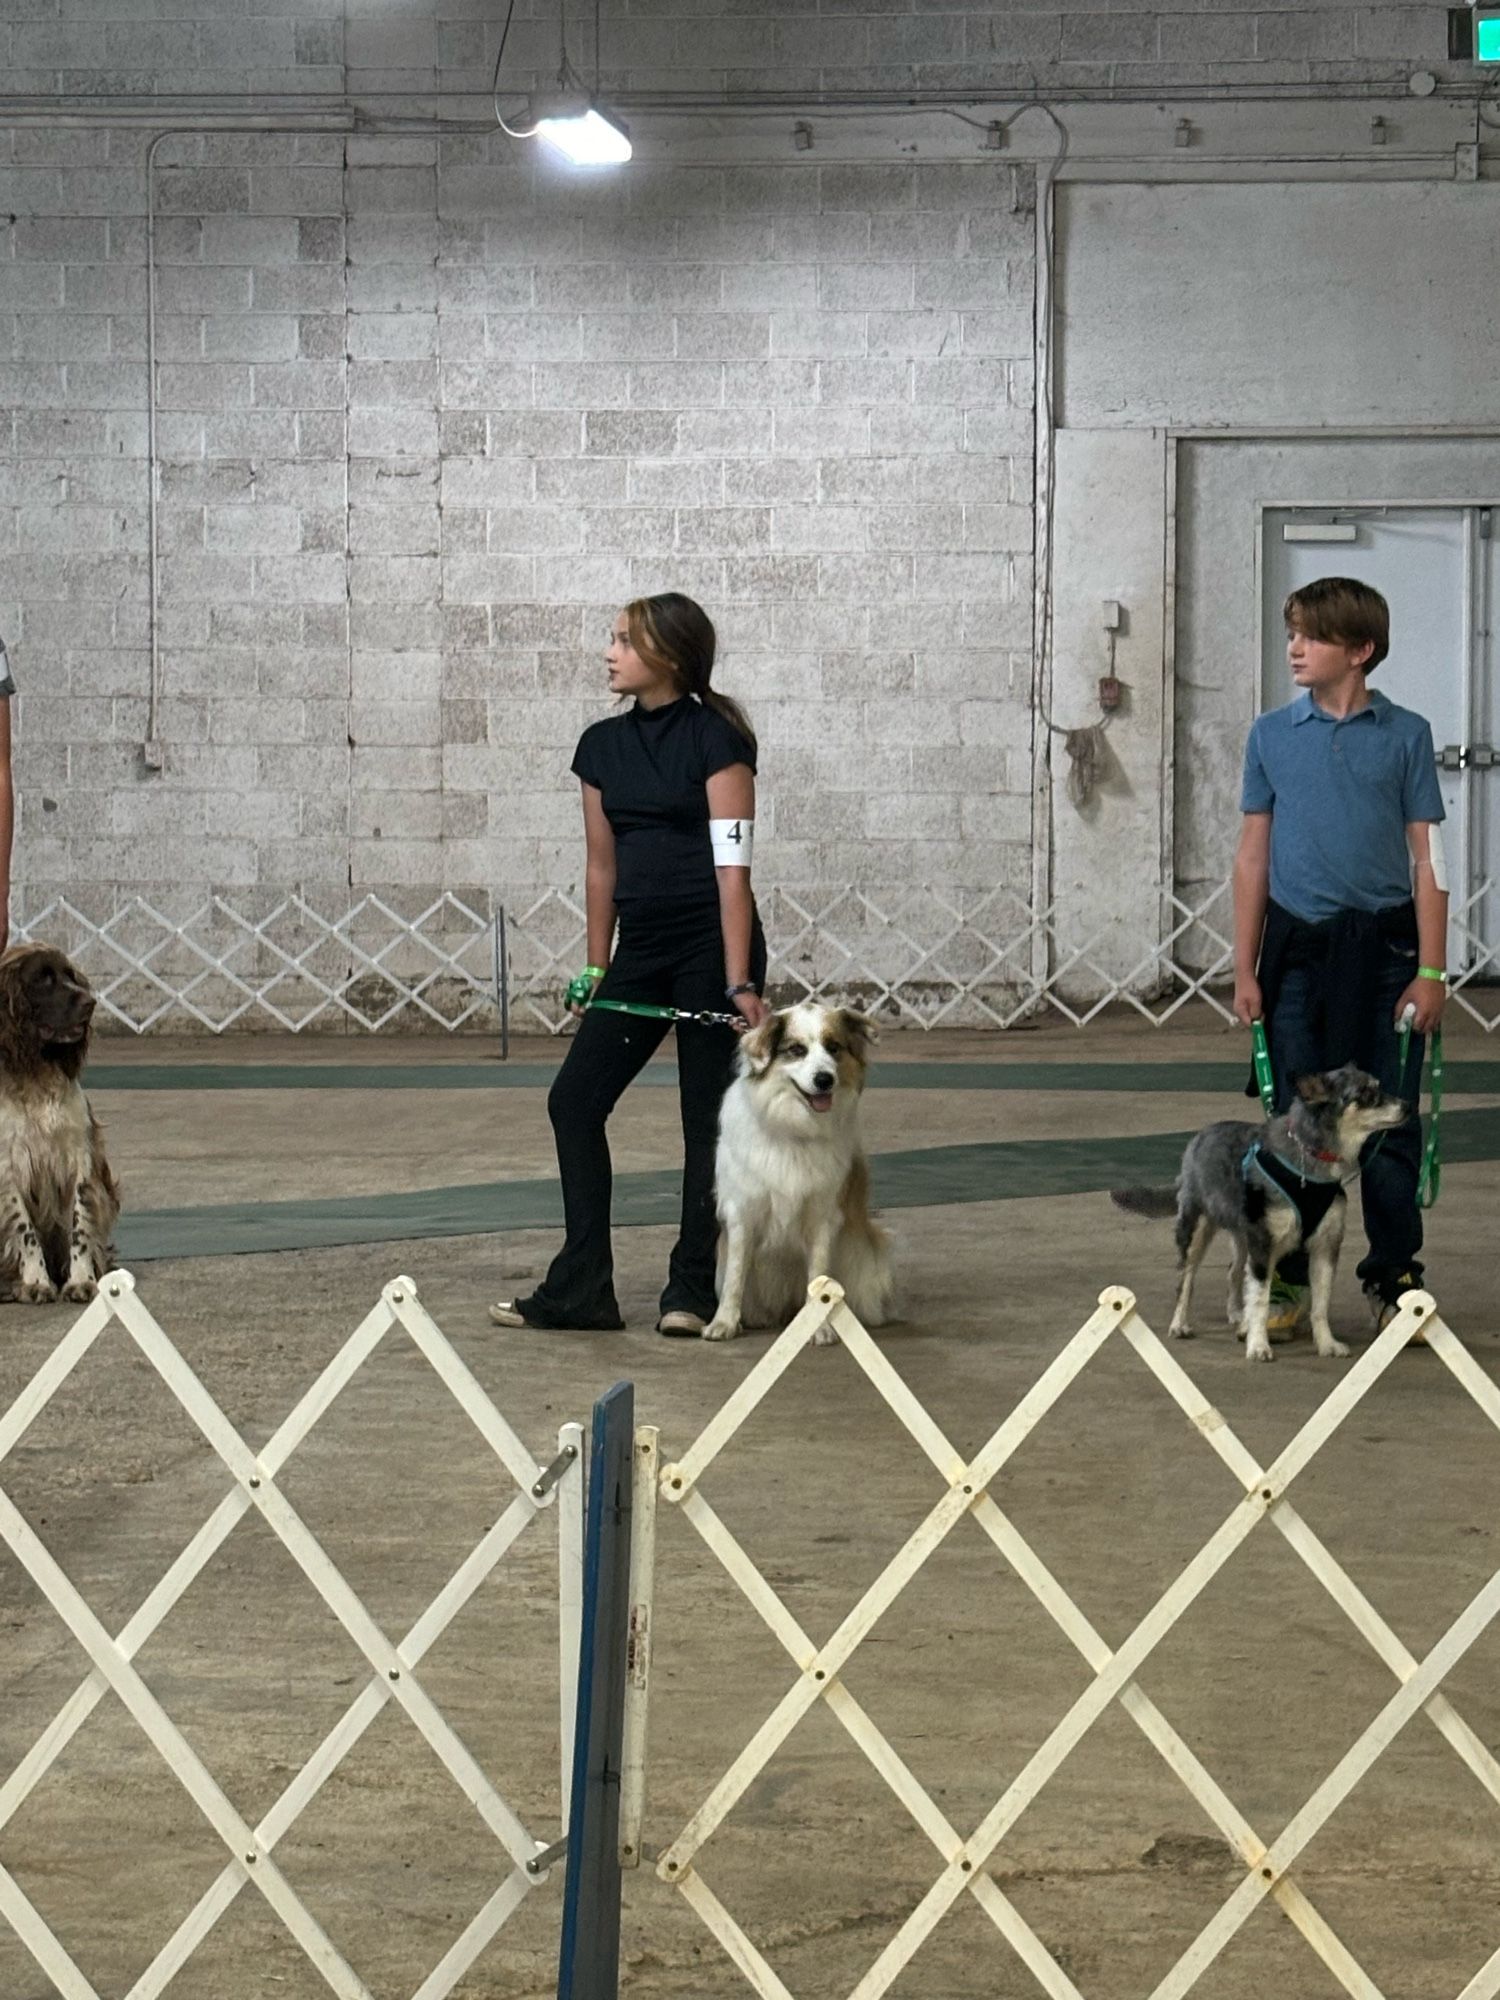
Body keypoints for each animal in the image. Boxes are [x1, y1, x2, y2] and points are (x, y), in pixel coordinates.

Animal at [0, 944, 119, 1304]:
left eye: (70, 975)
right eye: (43, 979)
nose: (90, 1002)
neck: (35, 1074)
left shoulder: (79, 1157)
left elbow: (79, 1225)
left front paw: (82, 1281)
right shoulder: (7, 1165)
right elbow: (24, 1230)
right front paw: (36, 1283)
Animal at [704, 1000, 892, 1344]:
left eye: (834, 1048)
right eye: (796, 1050)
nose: (824, 1079)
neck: (794, 1127)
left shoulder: (823, 1215)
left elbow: (818, 1274)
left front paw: (819, 1327)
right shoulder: (742, 1212)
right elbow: (735, 1276)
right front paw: (723, 1323)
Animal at [1112, 1072, 1416, 1368]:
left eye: (1378, 1086)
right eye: (1366, 1093)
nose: (1408, 1106)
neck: (1310, 1162)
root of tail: (1198, 1138)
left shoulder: (1325, 1246)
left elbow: (1320, 1304)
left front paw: (1327, 1344)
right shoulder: (1263, 1244)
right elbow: (1260, 1300)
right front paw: (1258, 1346)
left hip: (1242, 1235)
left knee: (1234, 1271)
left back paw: (1237, 1314)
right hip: (1196, 1229)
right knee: (1185, 1280)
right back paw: (1180, 1324)